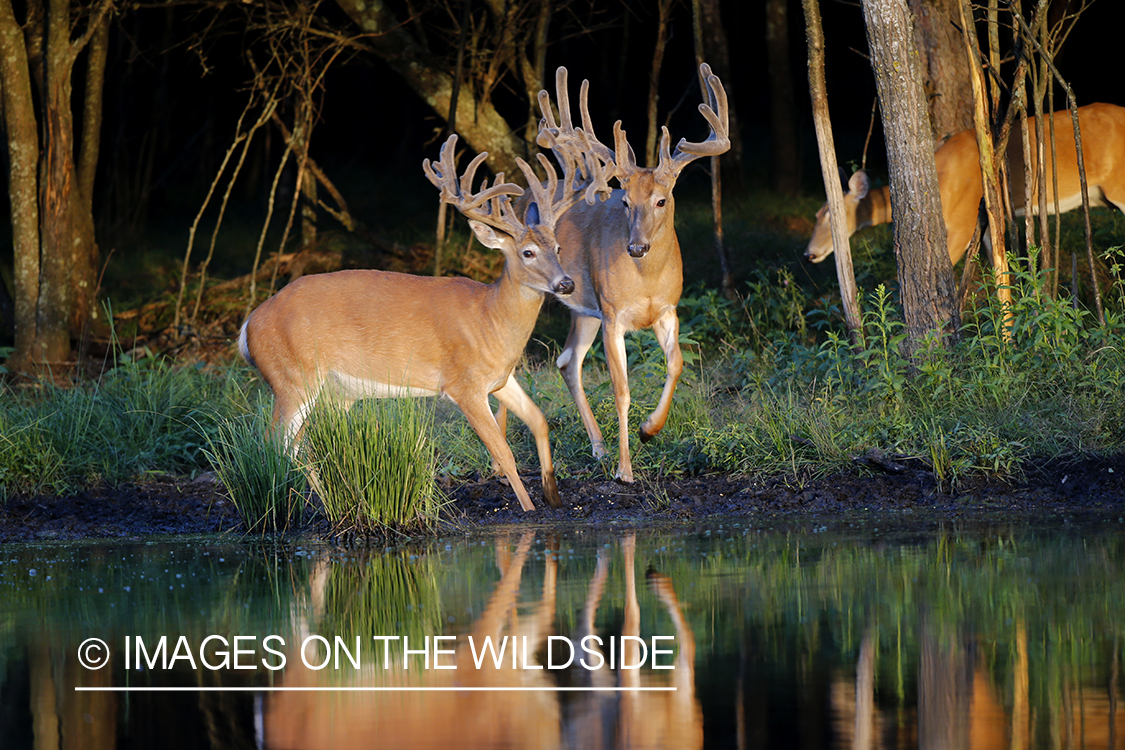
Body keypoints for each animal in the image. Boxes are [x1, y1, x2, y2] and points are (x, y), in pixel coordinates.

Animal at [239, 133, 607, 510]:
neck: (490, 318)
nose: (566, 284)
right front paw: (530, 510)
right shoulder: (463, 384)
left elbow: (539, 420)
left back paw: (327, 500)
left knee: (299, 442)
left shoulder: (500, 378)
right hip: (293, 377)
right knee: (274, 440)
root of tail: (248, 325)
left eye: (558, 247)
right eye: (527, 253)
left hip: (323, 390)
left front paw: (553, 498)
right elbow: (504, 453)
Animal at [526, 66, 729, 488]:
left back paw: (598, 447)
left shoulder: (668, 310)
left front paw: (649, 430)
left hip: (584, 310)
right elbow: (621, 390)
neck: (646, 281)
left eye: (661, 200)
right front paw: (625, 469)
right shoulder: (614, 315)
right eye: (624, 201)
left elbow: (676, 364)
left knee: (567, 361)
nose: (636, 247)